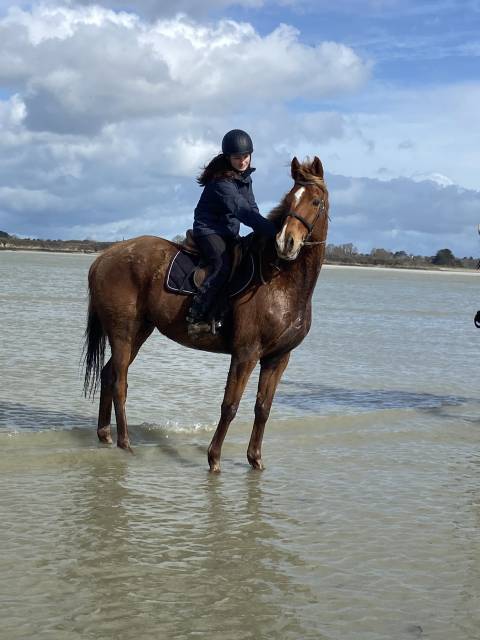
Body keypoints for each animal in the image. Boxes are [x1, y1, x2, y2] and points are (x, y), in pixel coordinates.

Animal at [83, 156, 329, 472]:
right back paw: (125, 443)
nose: (286, 243)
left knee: (108, 374)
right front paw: (214, 459)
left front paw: (255, 459)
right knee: (119, 382)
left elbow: (263, 408)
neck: (281, 281)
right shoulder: (246, 354)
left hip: (139, 332)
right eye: (289, 200)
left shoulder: (278, 359)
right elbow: (230, 405)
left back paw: (105, 435)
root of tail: (104, 257)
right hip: (123, 333)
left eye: (315, 201)